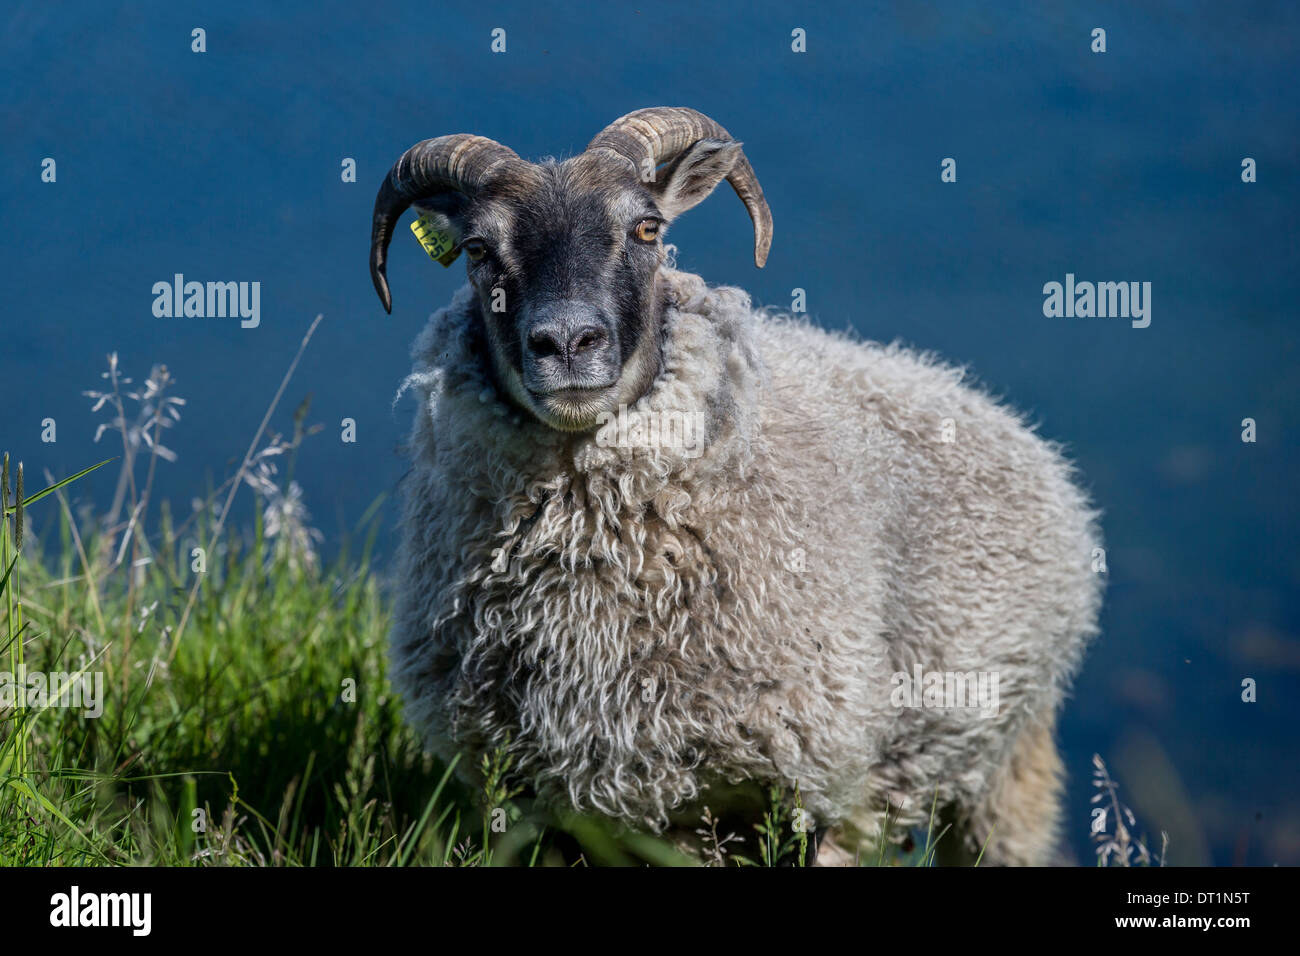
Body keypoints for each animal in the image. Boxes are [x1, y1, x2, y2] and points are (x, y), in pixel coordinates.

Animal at [371, 106, 1102, 868]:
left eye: (647, 229)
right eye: (478, 247)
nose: (567, 343)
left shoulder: (794, 781)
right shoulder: (538, 797)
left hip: (1003, 755)